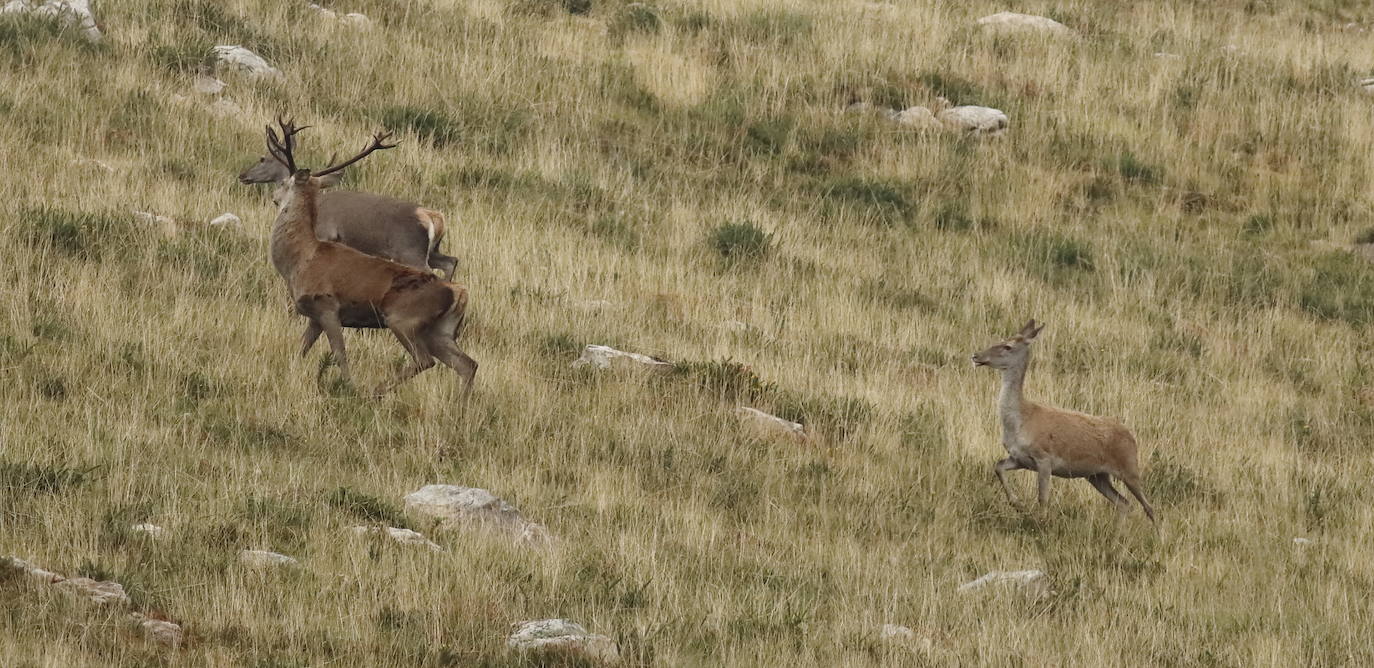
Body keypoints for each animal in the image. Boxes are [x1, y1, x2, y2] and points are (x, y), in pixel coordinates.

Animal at [241, 151, 461, 279]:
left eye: (263, 159)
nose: (243, 175)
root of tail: (433, 216)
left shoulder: (325, 235)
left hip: (410, 251)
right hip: (430, 251)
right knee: (451, 261)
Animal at [266, 116, 478, 393]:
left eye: (284, 182)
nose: (274, 197)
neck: (300, 259)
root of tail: (460, 293)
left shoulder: (327, 305)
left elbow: (340, 354)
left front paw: (348, 385)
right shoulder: (314, 316)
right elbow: (301, 349)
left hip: (403, 319)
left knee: (425, 360)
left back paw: (376, 391)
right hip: (440, 330)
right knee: (467, 364)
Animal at [972, 321, 1154, 525]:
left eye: (1008, 346)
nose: (976, 355)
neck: (1021, 420)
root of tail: (1131, 437)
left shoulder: (1044, 458)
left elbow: (1043, 498)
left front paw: (1039, 523)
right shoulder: (1019, 458)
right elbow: (998, 466)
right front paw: (1018, 504)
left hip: (1129, 468)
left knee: (1149, 507)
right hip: (1096, 476)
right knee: (1124, 503)